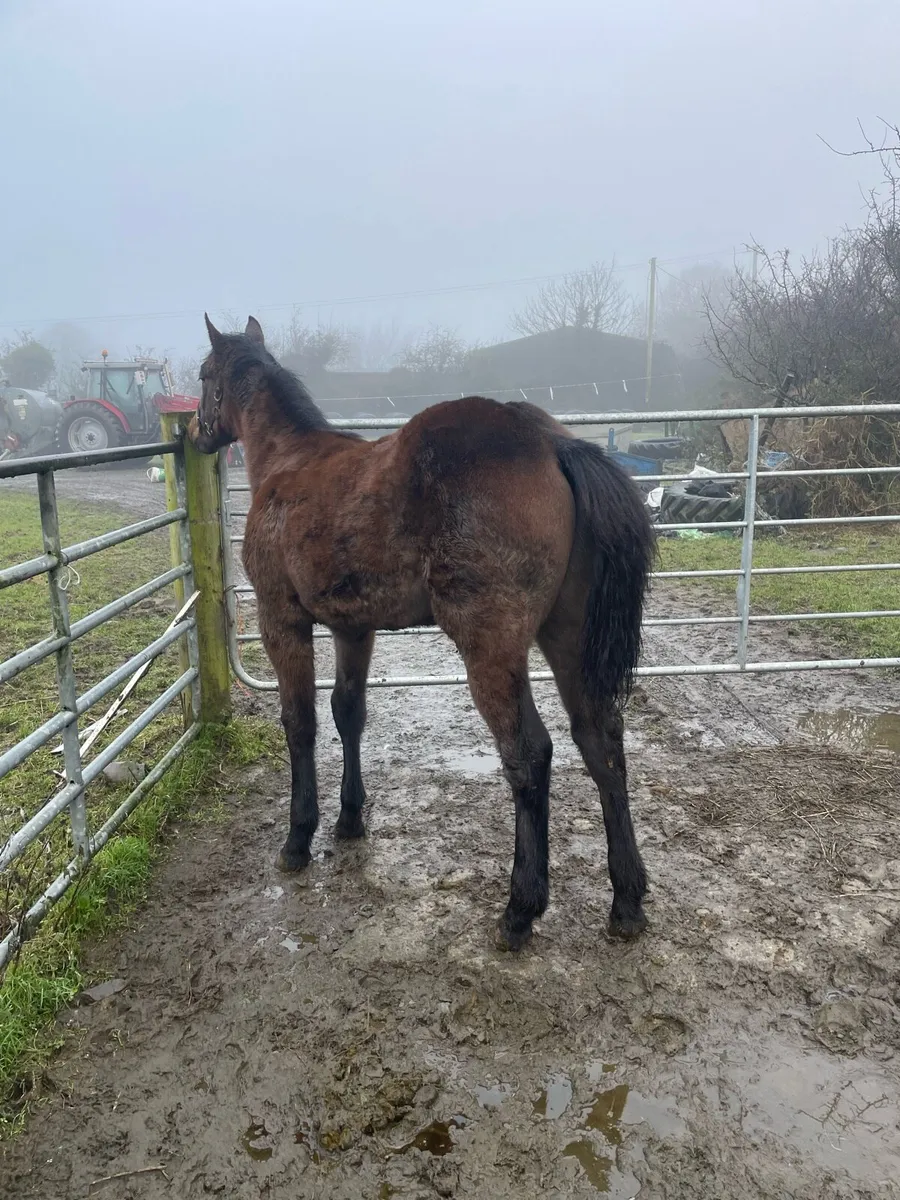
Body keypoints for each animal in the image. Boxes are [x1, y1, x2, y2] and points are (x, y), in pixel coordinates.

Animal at [188, 315, 655, 951]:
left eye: (203, 374)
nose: (194, 430)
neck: (289, 461)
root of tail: (551, 442)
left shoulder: (281, 619)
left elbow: (300, 721)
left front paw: (298, 838)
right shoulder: (353, 628)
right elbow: (348, 712)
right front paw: (350, 819)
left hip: (491, 647)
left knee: (529, 753)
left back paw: (520, 909)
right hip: (568, 639)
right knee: (600, 740)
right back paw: (626, 900)